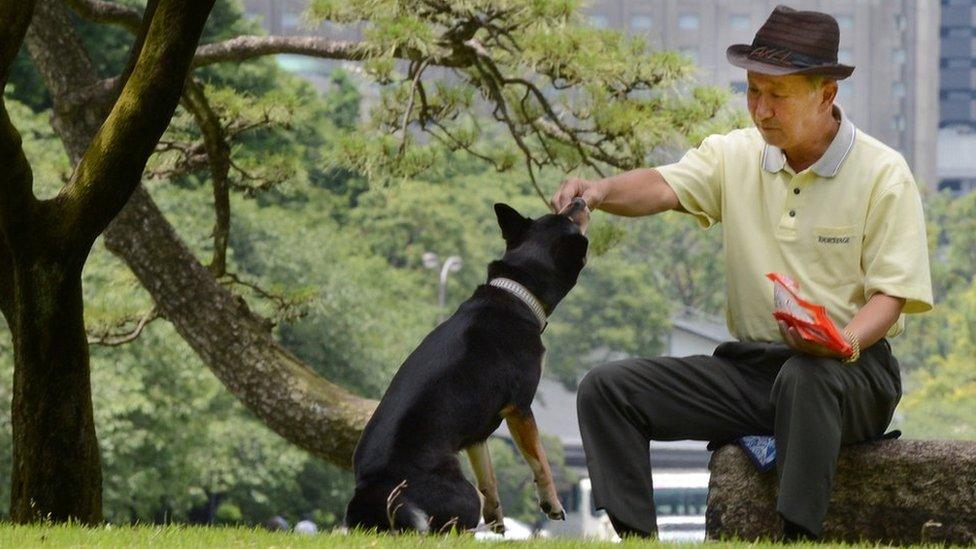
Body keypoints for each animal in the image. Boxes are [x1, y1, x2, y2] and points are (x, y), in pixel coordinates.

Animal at [346, 197, 592, 532]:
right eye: (567, 217)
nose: (579, 199)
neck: (517, 295)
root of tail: (373, 488)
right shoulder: (520, 408)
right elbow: (540, 462)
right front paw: (551, 503)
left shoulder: (478, 436)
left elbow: (489, 479)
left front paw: (497, 520)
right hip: (462, 492)